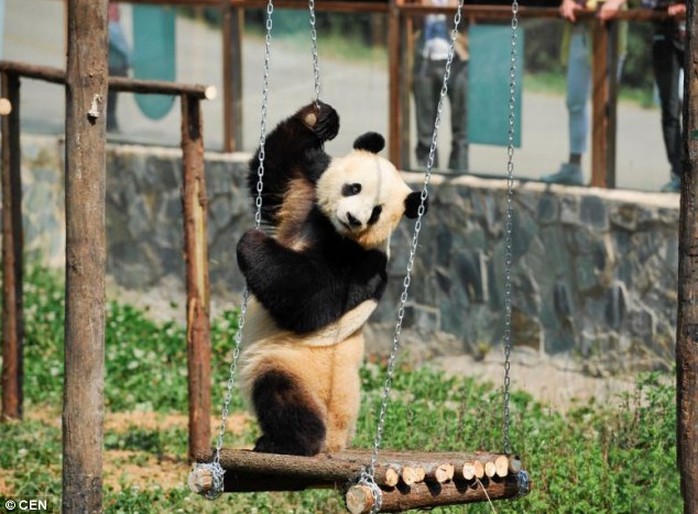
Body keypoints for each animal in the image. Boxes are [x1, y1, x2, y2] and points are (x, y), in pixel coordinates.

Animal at [235, 102, 424, 454]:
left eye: (376, 212)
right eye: (354, 187)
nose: (353, 218)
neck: (334, 230)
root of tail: (338, 443)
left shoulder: (364, 262)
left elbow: (311, 298)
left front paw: (252, 243)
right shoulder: (305, 190)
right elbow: (273, 173)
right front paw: (319, 119)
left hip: (300, 367)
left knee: (281, 391)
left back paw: (287, 442)